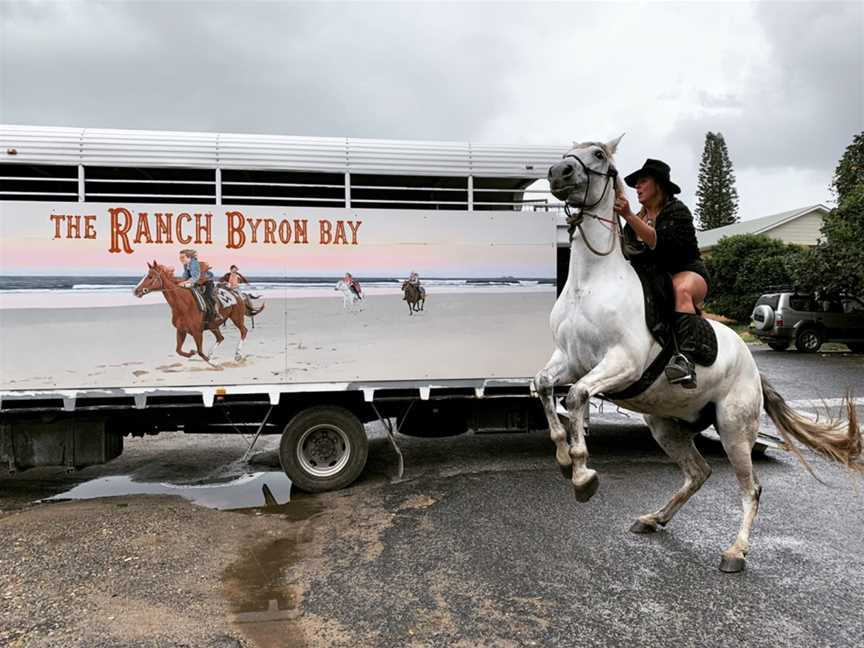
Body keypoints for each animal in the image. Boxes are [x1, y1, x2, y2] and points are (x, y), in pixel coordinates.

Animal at [132, 262, 264, 364]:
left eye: (150, 276)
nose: (136, 291)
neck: (184, 305)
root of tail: (238, 295)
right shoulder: (181, 330)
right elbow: (179, 350)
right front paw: (192, 353)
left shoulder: (197, 332)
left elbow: (200, 352)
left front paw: (212, 363)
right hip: (214, 325)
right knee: (220, 338)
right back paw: (211, 354)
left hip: (236, 318)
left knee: (243, 331)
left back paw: (237, 354)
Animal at [536, 135, 860, 572]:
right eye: (568, 155)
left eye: (599, 155)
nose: (559, 173)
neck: (592, 282)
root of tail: (753, 368)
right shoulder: (570, 360)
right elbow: (544, 386)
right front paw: (562, 457)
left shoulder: (622, 362)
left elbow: (576, 396)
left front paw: (583, 474)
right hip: (665, 425)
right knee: (698, 472)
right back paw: (653, 518)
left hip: (735, 429)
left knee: (751, 488)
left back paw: (735, 552)